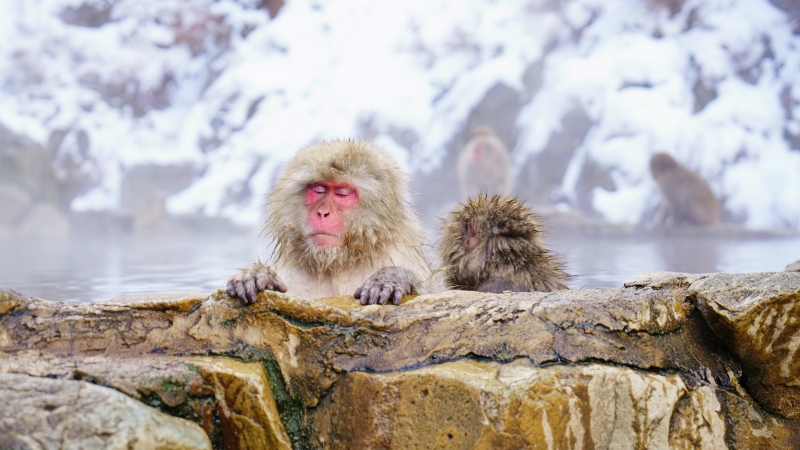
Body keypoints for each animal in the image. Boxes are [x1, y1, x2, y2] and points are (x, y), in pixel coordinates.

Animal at [226, 139, 432, 306]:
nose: (323, 212)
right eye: (318, 190)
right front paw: (257, 275)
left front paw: (390, 278)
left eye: (342, 193)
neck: (337, 263)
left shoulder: (401, 255)